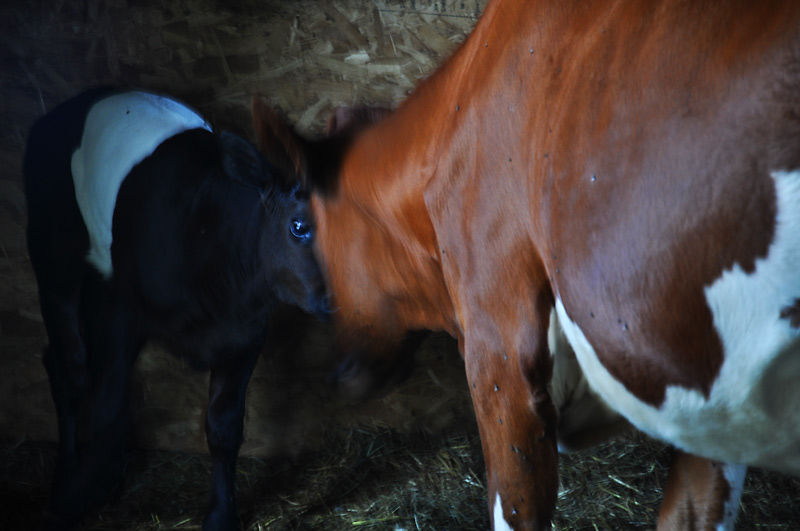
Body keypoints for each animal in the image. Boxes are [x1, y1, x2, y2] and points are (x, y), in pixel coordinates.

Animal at [23, 87, 330, 530]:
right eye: (299, 226)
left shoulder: (246, 333)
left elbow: (223, 426)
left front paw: (221, 515)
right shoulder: (117, 308)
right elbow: (109, 408)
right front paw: (80, 495)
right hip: (52, 253)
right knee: (71, 366)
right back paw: (66, 476)